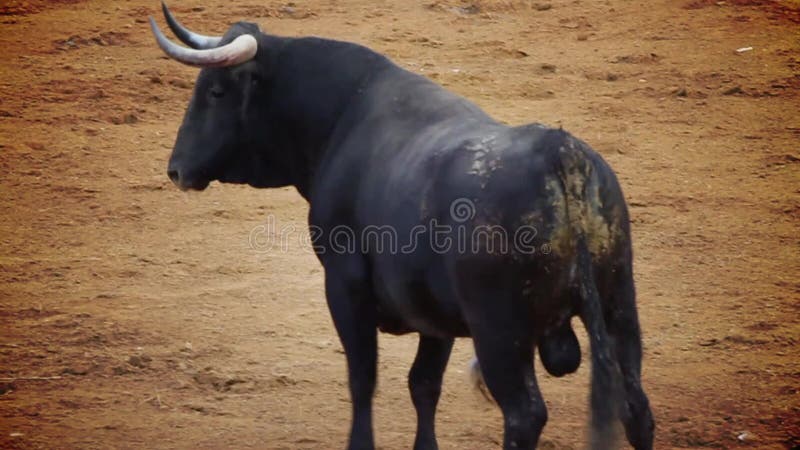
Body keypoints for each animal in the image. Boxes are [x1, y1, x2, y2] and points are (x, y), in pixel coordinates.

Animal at [150, 7, 656, 450]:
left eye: (216, 92)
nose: (176, 169)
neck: (343, 115)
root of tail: (560, 154)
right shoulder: (433, 313)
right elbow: (423, 384)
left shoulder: (345, 284)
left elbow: (363, 377)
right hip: (620, 303)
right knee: (636, 406)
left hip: (499, 329)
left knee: (524, 415)